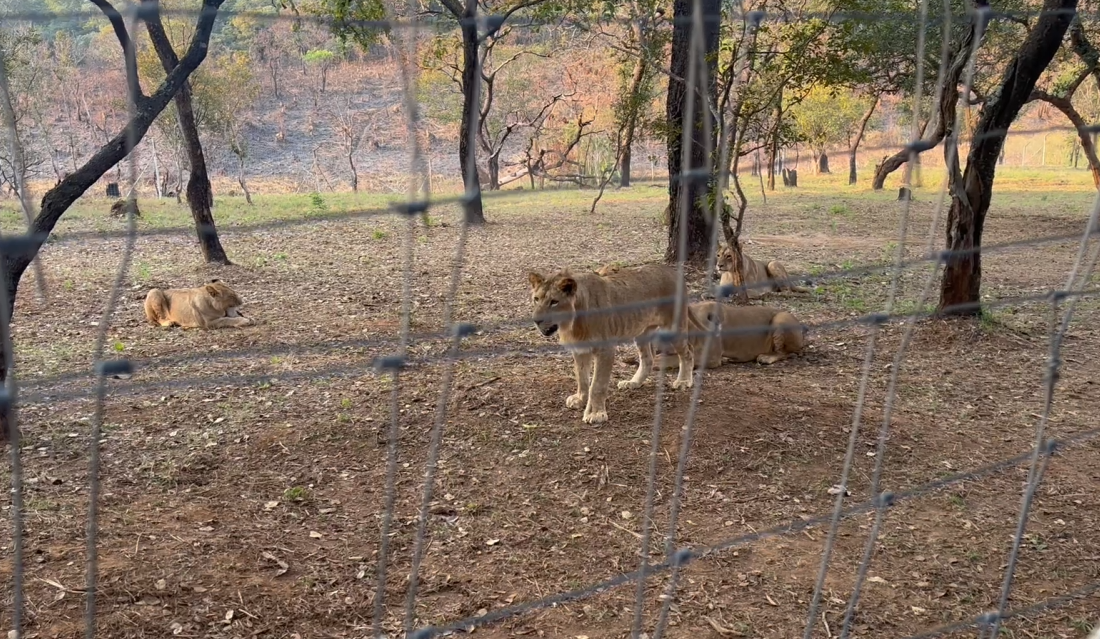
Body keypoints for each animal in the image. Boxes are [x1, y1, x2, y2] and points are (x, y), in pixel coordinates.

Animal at [527, 264, 695, 424]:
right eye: (536, 299)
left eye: (554, 302)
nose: (536, 320)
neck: (573, 323)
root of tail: (673, 272)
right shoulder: (580, 349)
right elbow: (581, 378)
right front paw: (580, 399)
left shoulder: (605, 349)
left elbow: (597, 385)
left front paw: (595, 414)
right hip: (642, 332)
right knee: (648, 359)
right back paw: (633, 383)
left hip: (673, 328)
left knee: (688, 353)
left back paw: (683, 381)